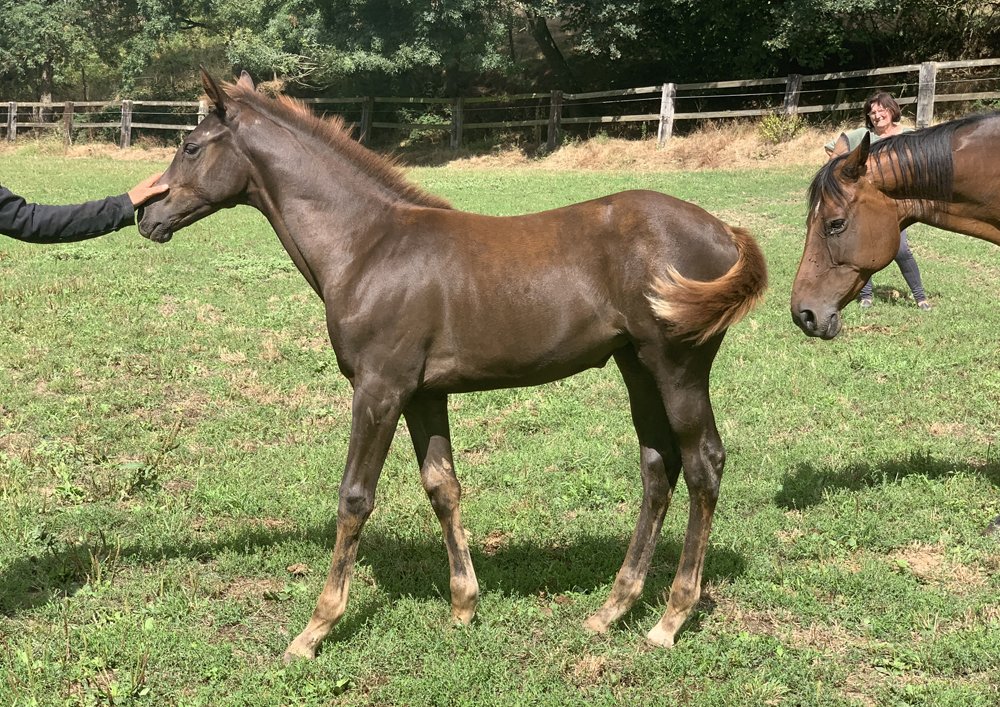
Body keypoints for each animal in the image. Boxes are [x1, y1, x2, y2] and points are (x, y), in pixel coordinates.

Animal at [138, 70, 768, 662]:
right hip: (636, 366)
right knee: (657, 468)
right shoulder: (423, 393)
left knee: (703, 464)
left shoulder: (379, 388)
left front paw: (315, 629)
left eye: (190, 146)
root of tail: (725, 231)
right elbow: (443, 485)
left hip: (678, 367)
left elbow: (355, 497)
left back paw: (670, 619)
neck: (368, 246)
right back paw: (611, 610)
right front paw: (464, 606)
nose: (147, 217)